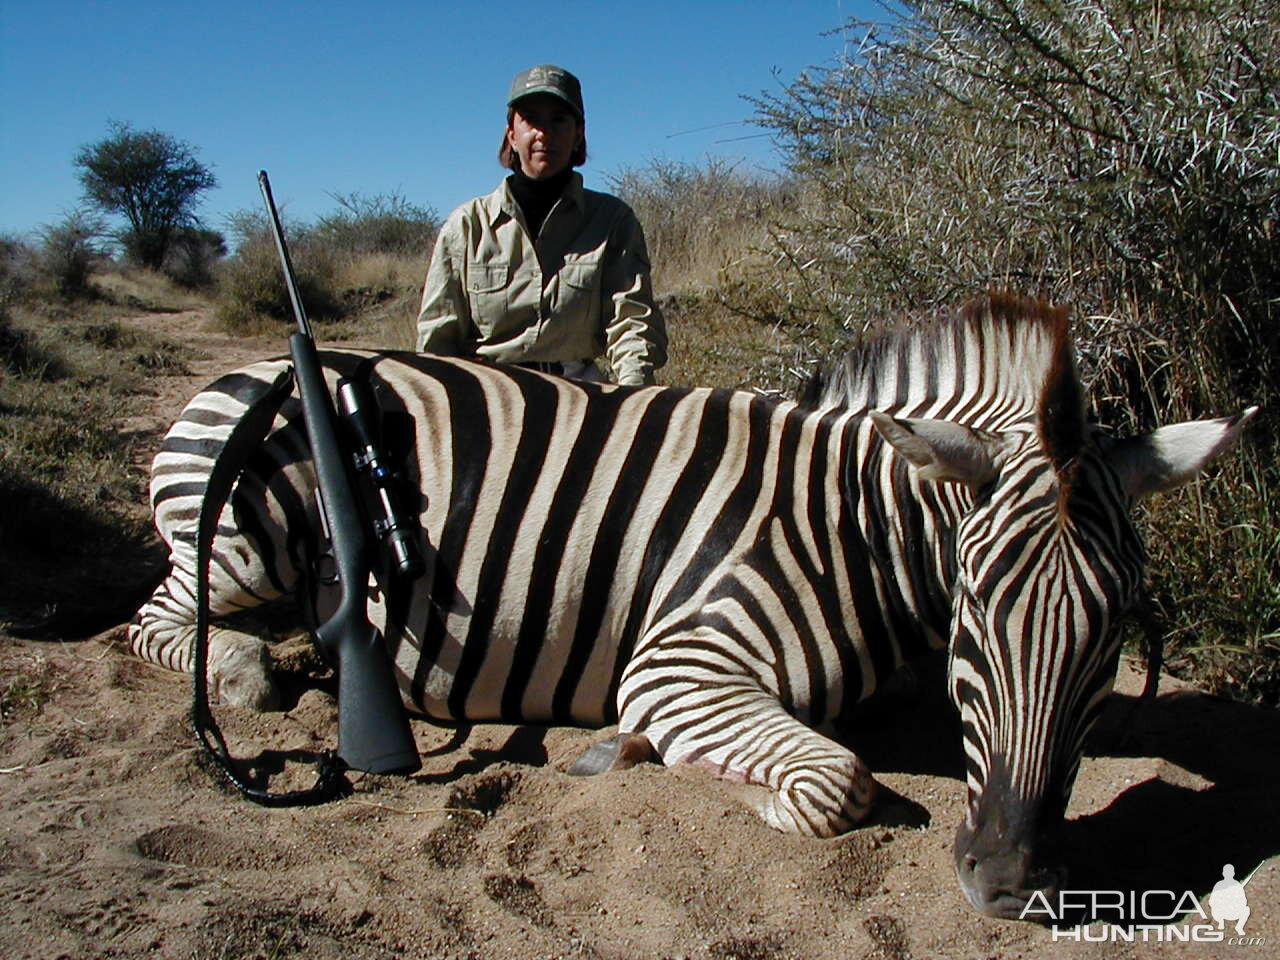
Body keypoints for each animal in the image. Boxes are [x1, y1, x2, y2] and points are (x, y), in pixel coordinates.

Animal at [127, 293, 1249, 916]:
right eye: (972, 605)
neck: (852, 518)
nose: (1009, 885)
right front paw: (636, 754)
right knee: (161, 621)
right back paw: (258, 671)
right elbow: (835, 780)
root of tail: (247, 370)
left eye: (1117, 629)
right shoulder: (682, 661)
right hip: (240, 540)